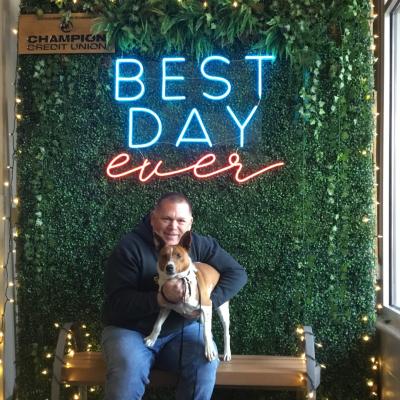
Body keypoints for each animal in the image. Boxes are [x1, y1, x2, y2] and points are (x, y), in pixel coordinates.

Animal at [144, 228, 231, 362]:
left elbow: (205, 332)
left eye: (178, 255)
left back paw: (226, 353)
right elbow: (157, 325)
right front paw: (151, 338)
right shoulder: (165, 306)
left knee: (225, 332)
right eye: (164, 256)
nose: (169, 267)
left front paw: (209, 350)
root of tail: (215, 270)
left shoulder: (206, 306)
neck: (179, 280)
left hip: (222, 310)